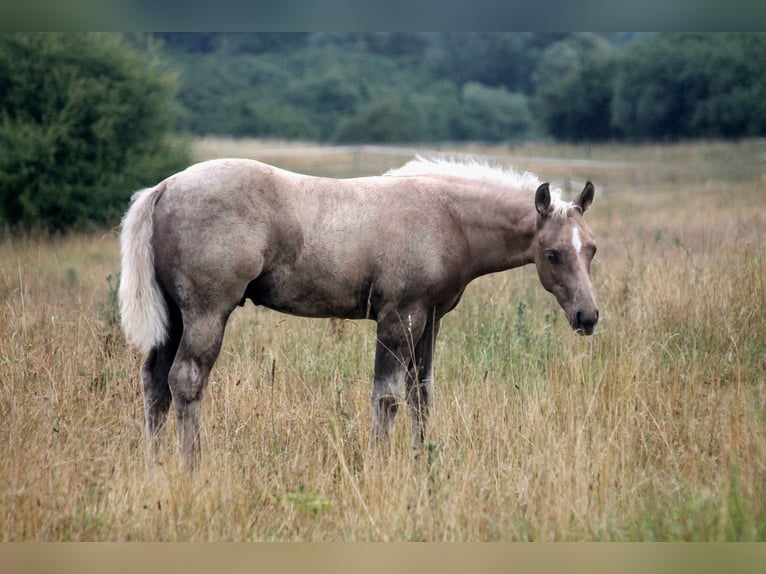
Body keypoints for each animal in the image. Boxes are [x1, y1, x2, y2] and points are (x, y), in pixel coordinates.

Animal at [119, 156, 599, 469]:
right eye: (553, 254)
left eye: (591, 248)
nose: (588, 317)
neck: (446, 218)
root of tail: (165, 188)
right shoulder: (399, 317)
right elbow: (386, 396)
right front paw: (377, 466)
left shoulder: (429, 320)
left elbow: (421, 394)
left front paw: (420, 464)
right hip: (206, 313)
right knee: (186, 380)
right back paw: (192, 468)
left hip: (174, 318)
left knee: (155, 382)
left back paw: (155, 467)